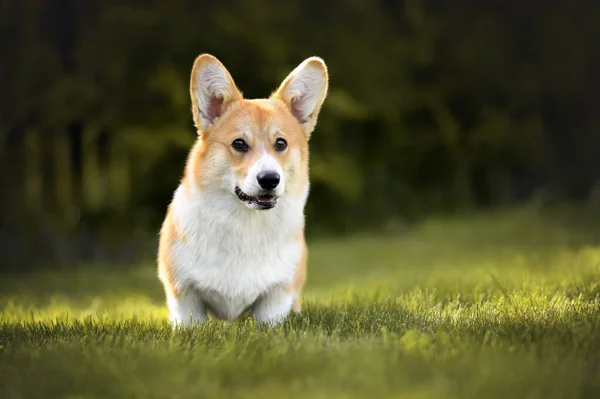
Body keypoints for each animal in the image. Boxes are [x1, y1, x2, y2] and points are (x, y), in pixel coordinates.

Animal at [157, 53, 330, 326]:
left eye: (281, 144)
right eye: (239, 144)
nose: (269, 179)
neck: (246, 223)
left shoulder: (276, 296)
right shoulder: (184, 295)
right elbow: (190, 322)